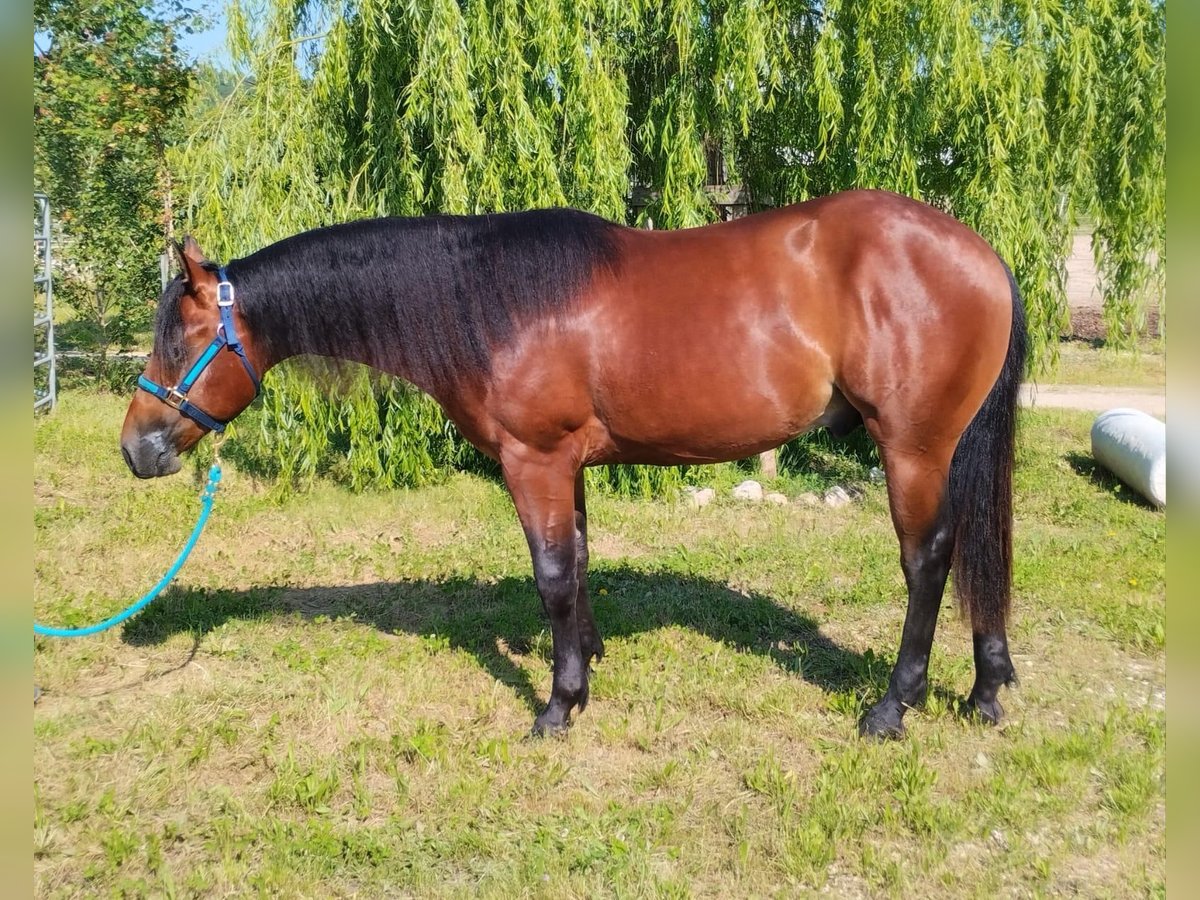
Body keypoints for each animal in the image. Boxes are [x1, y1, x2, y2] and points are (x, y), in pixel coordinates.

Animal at [121, 189, 1026, 739]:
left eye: (184, 340)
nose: (136, 447)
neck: (487, 302)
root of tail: (980, 253)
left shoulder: (537, 460)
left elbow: (552, 573)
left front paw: (558, 704)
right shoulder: (574, 466)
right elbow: (583, 561)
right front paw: (586, 662)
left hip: (911, 448)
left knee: (929, 559)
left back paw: (893, 705)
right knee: (979, 548)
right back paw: (986, 688)